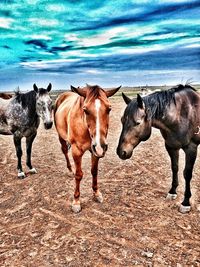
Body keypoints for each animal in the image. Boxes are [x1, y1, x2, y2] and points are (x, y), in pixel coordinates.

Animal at [54, 84, 120, 214]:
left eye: (109, 109)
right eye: (85, 110)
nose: (101, 146)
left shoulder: (95, 151)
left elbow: (94, 171)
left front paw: (96, 193)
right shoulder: (76, 152)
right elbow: (79, 175)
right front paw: (76, 201)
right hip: (61, 137)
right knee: (64, 151)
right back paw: (70, 169)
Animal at [117, 85, 200, 215]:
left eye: (137, 123)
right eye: (122, 120)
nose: (121, 152)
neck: (181, 115)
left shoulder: (191, 148)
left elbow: (187, 174)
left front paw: (186, 202)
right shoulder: (171, 146)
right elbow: (174, 168)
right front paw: (172, 192)